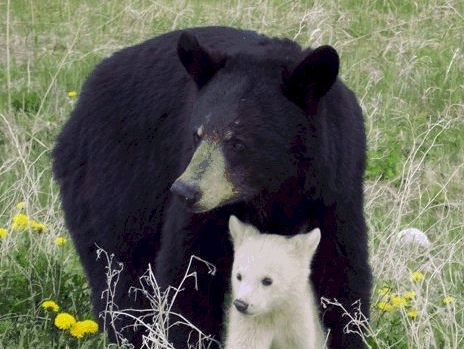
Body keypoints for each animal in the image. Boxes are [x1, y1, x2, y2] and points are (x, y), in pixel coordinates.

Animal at [52, 26, 372, 348]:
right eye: (197, 134)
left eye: (238, 142)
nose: (185, 191)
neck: (273, 188)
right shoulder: (207, 207)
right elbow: (190, 273)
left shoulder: (334, 188)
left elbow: (342, 274)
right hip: (114, 182)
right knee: (119, 272)